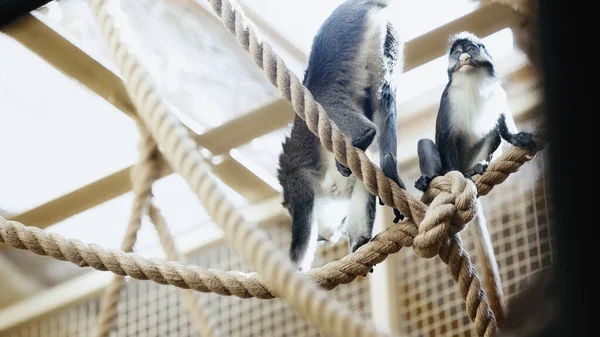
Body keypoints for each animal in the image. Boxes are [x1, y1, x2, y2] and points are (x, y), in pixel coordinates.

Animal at [276, 0, 408, 272]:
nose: (327, 238)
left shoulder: (298, 183)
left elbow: (301, 239)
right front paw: (360, 243)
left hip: (337, 66)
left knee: (330, 101)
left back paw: (362, 137)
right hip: (389, 40)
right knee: (384, 95)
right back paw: (389, 166)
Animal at [414, 31, 536, 322]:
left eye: (470, 48)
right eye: (458, 53)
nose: (465, 57)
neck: (471, 82)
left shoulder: (497, 91)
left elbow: (501, 120)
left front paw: (516, 137)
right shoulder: (448, 101)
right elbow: (444, 138)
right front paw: (448, 176)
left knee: (492, 135)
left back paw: (476, 168)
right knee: (427, 144)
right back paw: (431, 179)